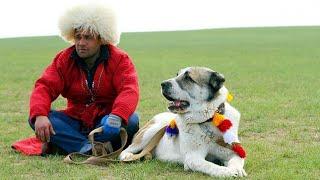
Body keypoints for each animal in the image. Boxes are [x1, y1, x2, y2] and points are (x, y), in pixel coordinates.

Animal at [120, 66, 248, 177]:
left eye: (188, 78)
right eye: (177, 74)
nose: (163, 84)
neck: (208, 121)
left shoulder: (232, 151)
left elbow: (237, 159)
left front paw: (237, 169)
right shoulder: (193, 158)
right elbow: (211, 166)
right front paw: (228, 172)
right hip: (151, 131)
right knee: (126, 150)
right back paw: (127, 156)